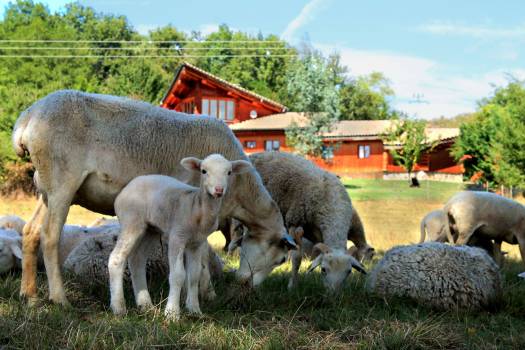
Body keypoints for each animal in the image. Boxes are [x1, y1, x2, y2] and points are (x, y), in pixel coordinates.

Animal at [109, 154, 254, 318]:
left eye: (229, 172)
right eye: (203, 171)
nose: (218, 190)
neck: (196, 207)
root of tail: (125, 189)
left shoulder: (197, 243)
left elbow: (194, 275)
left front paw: (194, 310)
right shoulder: (177, 237)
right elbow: (178, 275)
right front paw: (172, 313)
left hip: (150, 229)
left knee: (137, 260)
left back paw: (145, 305)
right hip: (131, 221)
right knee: (116, 259)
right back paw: (118, 308)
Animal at [229, 152, 368, 292]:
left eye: (348, 272)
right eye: (323, 270)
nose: (333, 294)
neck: (332, 205)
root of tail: (258, 153)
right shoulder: (295, 223)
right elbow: (297, 259)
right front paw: (292, 286)